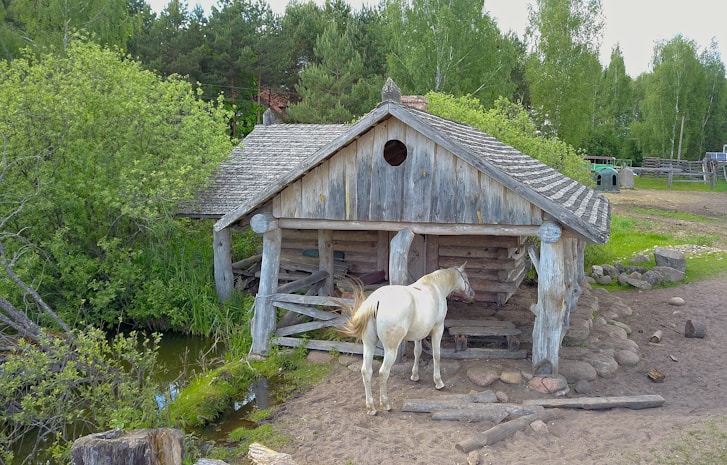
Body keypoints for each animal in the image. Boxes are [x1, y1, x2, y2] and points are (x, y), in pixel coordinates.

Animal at [340, 263, 475, 415]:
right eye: (466, 278)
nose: (472, 294)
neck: (435, 286)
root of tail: (376, 301)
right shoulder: (438, 328)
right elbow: (437, 355)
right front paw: (438, 382)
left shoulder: (418, 334)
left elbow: (417, 351)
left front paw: (415, 376)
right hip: (390, 350)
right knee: (383, 373)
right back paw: (385, 404)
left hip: (369, 345)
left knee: (366, 372)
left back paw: (371, 408)